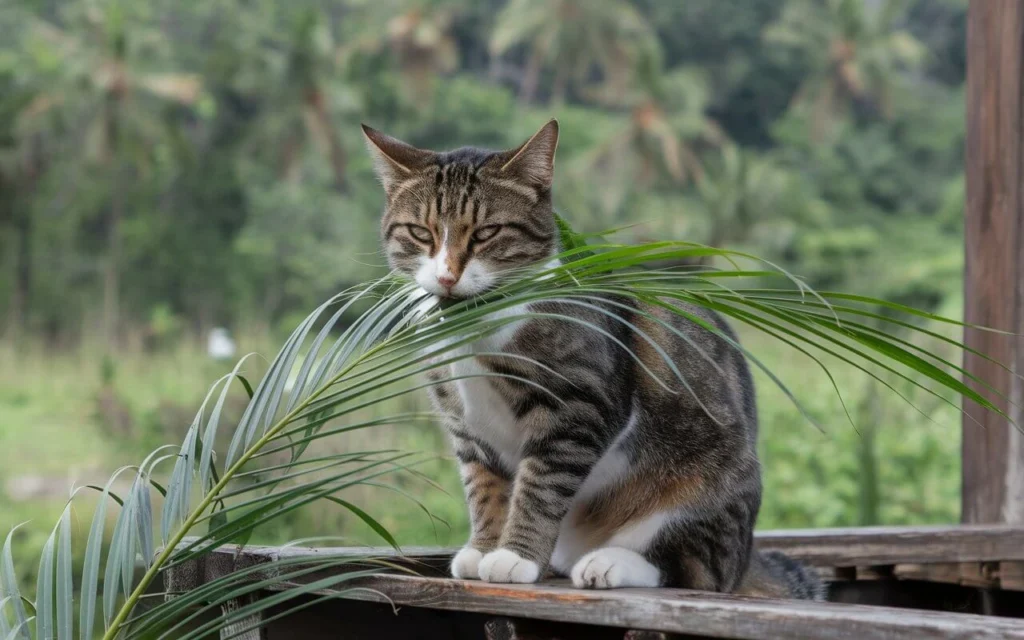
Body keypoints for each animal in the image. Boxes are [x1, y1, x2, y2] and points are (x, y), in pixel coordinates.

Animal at [364, 118, 827, 598]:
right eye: (422, 233)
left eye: (486, 233)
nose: (446, 276)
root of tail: (748, 558)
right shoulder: (466, 423)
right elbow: (484, 487)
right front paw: (483, 548)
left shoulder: (578, 407)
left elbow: (540, 486)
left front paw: (514, 557)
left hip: (706, 488)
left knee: (694, 571)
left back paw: (609, 563)